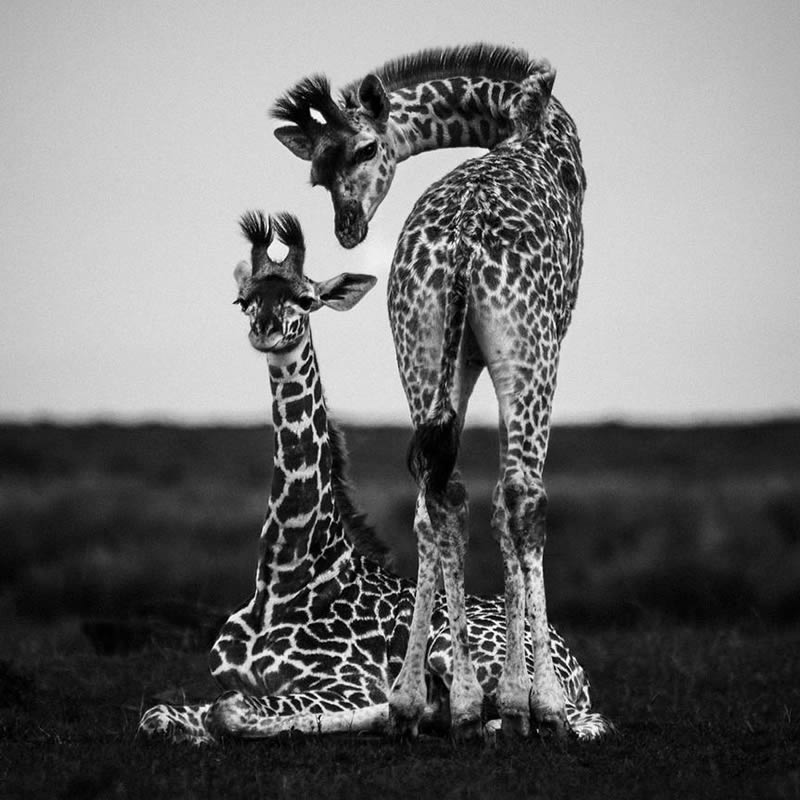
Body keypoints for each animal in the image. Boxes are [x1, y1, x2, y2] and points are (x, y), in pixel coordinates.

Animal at [136, 211, 608, 744]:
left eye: (306, 299)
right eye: (244, 300)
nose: (267, 331)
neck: (284, 578)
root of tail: (578, 668)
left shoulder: (345, 683)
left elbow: (231, 708)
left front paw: (405, 710)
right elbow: (158, 714)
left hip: (455, 648)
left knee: (579, 722)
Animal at [276, 43, 588, 736]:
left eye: (366, 149)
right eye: (317, 173)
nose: (347, 228)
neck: (521, 119)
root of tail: (464, 243)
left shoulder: (458, 359)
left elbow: (451, 503)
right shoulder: (537, 340)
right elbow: (505, 505)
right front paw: (523, 701)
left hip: (417, 343)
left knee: (436, 492)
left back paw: (425, 703)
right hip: (530, 352)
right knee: (524, 495)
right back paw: (536, 705)